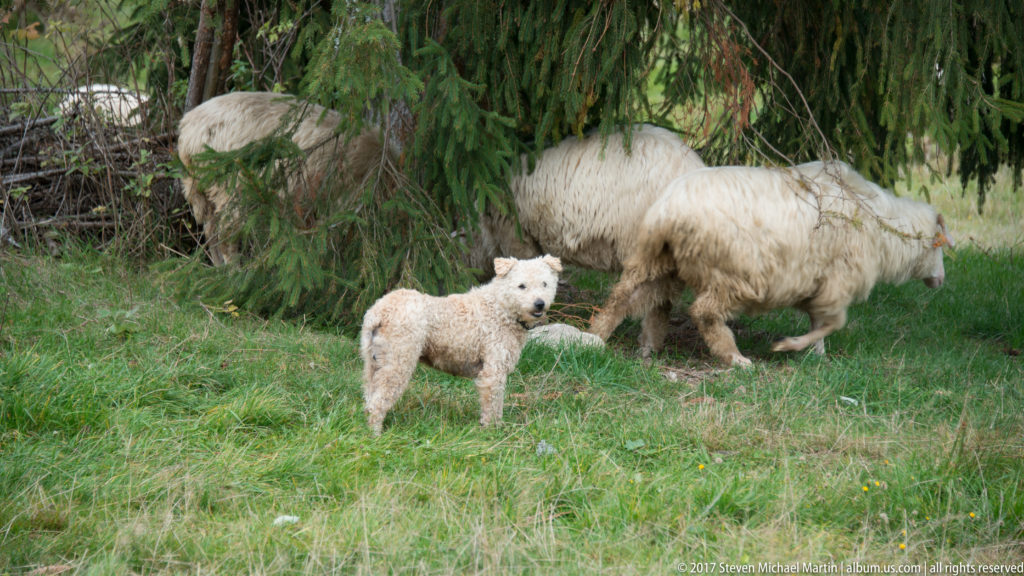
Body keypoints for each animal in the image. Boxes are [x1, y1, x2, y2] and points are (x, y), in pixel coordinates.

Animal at [177, 91, 387, 265]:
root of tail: (187, 133)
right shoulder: (343, 199)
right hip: (230, 187)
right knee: (226, 237)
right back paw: (234, 272)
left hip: (202, 186)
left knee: (211, 231)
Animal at [470, 124, 707, 355]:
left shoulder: (517, 234)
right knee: (661, 300)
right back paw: (649, 346)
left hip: (643, 245)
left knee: (627, 295)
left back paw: (596, 334)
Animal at [588, 161, 953, 366]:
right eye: (941, 247)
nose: (941, 281)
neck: (883, 227)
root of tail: (668, 209)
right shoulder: (838, 281)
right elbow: (834, 323)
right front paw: (789, 346)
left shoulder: (818, 283)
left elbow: (820, 323)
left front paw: (817, 355)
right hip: (731, 273)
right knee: (705, 312)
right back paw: (735, 358)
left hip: (657, 259)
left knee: (623, 297)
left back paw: (599, 336)